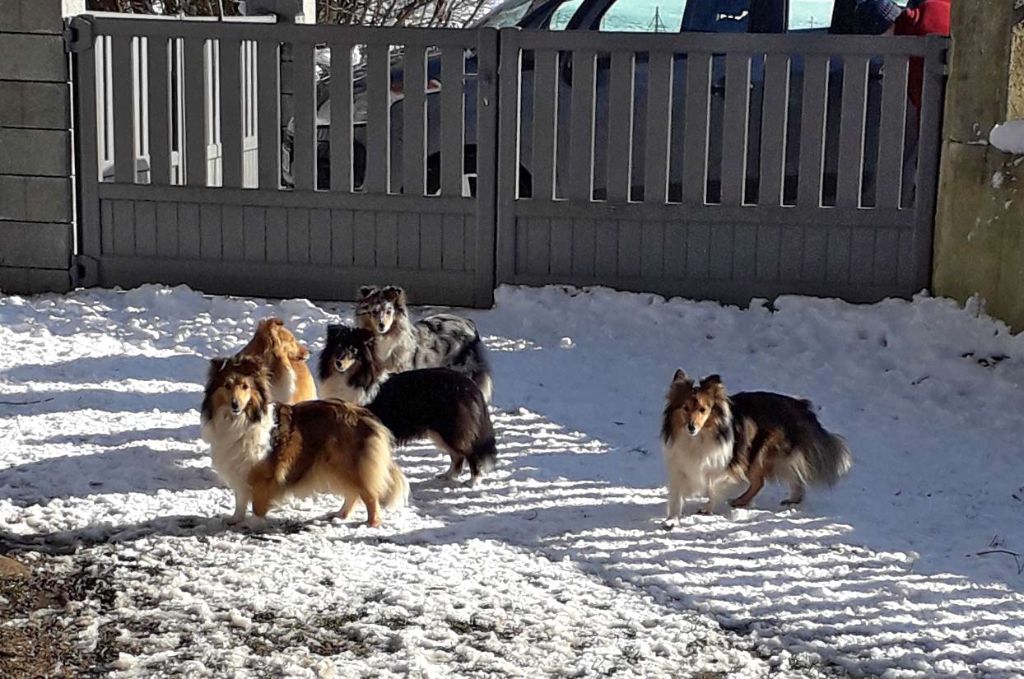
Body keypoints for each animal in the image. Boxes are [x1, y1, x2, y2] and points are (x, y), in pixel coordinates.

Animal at [199, 356, 407, 524]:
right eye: (227, 386)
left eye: (245, 387)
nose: (235, 405)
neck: (241, 420)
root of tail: (366, 415)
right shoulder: (240, 469)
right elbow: (240, 499)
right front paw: (235, 519)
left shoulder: (262, 474)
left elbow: (257, 505)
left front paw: (253, 524)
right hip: (336, 467)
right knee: (353, 494)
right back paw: (340, 515)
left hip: (348, 465)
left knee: (370, 496)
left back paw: (371, 524)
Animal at [659, 372, 851, 520]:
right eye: (685, 408)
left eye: (703, 410)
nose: (691, 427)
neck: (698, 438)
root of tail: (800, 406)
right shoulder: (681, 464)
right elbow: (677, 493)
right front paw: (671, 519)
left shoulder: (727, 463)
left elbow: (715, 487)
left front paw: (707, 509)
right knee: (791, 477)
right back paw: (792, 500)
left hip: (761, 452)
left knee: (759, 481)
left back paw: (740, 501)